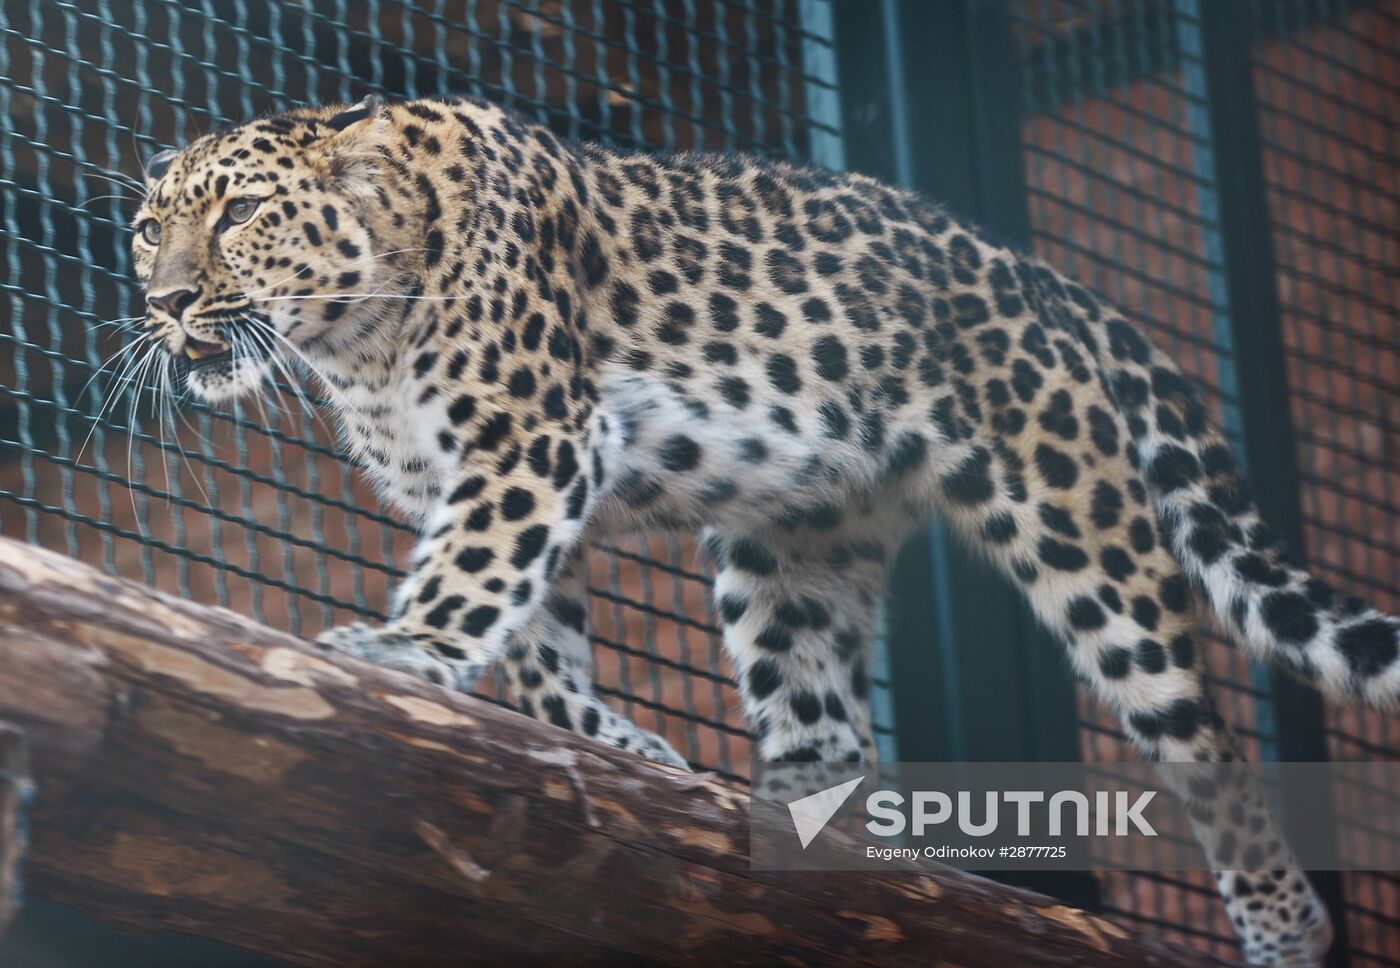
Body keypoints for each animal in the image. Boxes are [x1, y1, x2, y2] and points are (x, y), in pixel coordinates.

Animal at [127, 93, 1400, 966]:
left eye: (240, 212)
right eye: (148, 228)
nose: (166, 300)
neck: (357, 333)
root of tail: (1043, 280)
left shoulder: (531, 441)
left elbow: (474, 574)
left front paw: (409, 649)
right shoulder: (490, 470)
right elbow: (537, 646)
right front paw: (618, 745)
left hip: (1073, 519)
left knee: (1198, 737)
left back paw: (1280, 920)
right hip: (793, 547)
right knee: (823, 713)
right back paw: (797, 812)